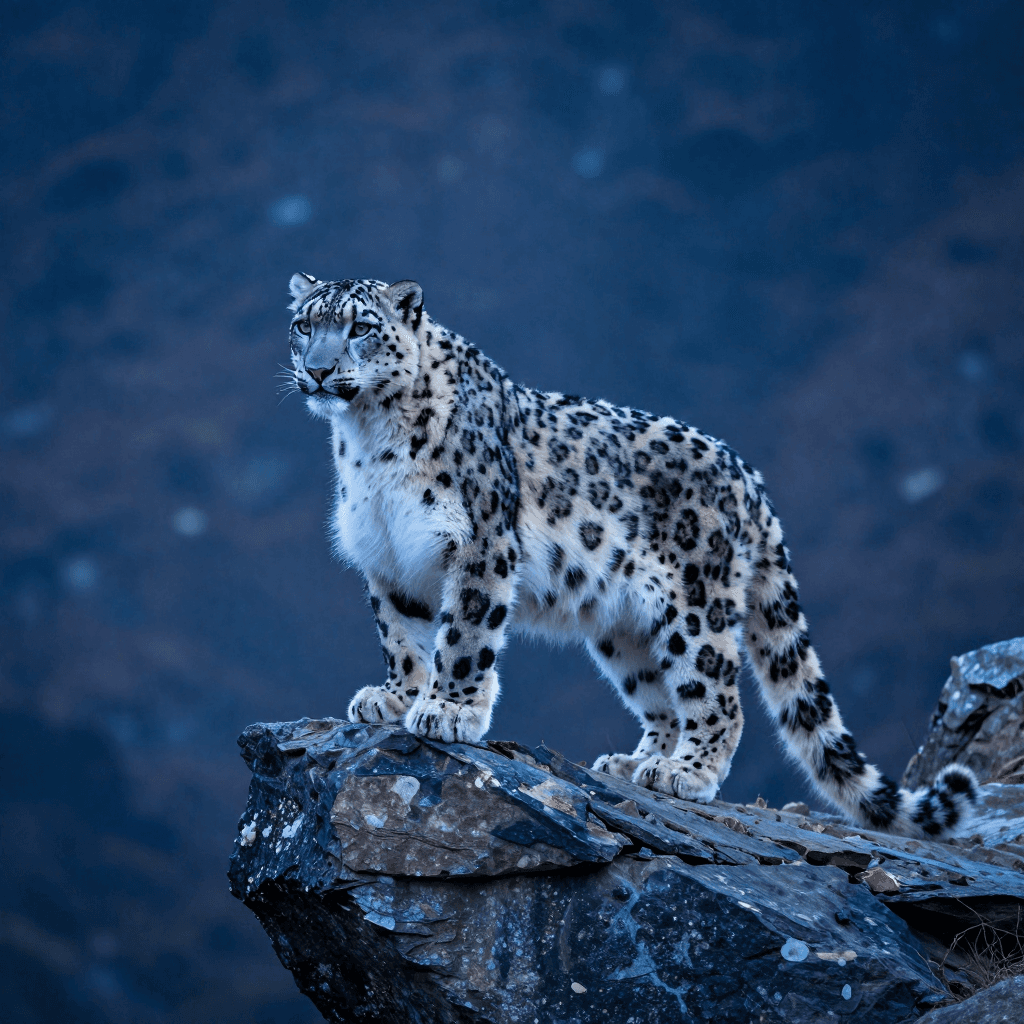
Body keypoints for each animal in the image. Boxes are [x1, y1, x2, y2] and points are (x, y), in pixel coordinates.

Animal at [285, 272, 978, 839]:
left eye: (360, 328)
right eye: (304, 326)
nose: (316, 371)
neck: (369, 441)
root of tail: (749, 476)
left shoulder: (479, 544)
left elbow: (462, 634)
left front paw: (449, 710)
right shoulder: (388, 555)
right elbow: (401, 635)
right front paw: (395, 697)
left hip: (696, 605)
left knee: (718, 697)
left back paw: (686, 773)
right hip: (626, 629)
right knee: (662, 696)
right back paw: (637, 761)